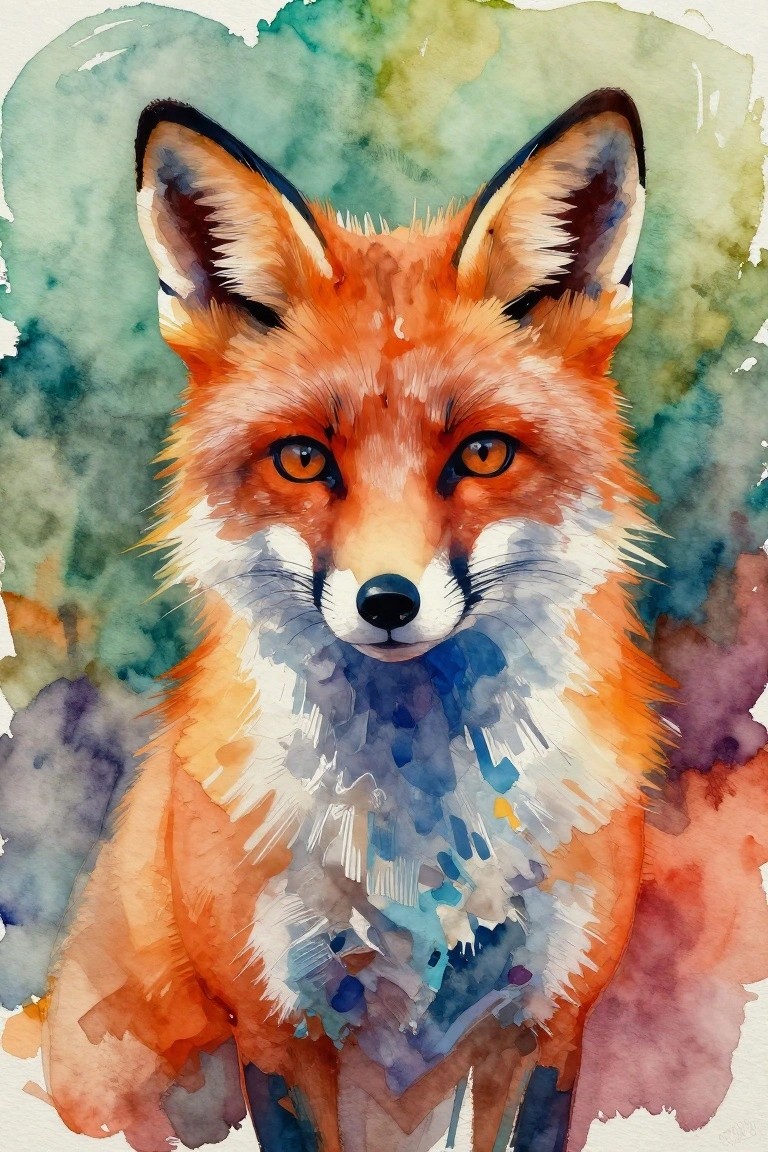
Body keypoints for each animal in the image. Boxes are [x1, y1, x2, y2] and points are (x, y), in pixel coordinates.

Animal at [41, 89, 665, 1152]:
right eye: (303, 460)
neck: (423, 849)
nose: (387, 601)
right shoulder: (277, 1026)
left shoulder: (547, 1023)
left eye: (483, 453)